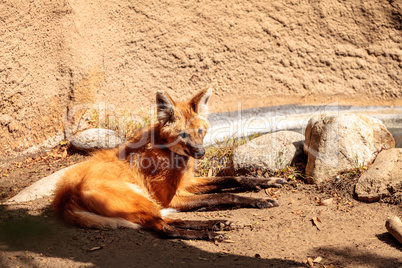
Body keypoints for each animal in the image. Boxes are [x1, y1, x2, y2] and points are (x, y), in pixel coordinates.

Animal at [53, 89, 286, 242]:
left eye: (200, 131)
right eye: (183, 135)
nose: (201, 153)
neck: (168, 152)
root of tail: (67, 196)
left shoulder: (186, 183)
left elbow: (232, 179)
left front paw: (265, 185)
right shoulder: (172, 196)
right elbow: (224, 195)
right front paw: (259, 199)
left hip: (146, 202)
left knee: (167, 220)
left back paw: (218, 223)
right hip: (143, 200)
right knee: (164, 228)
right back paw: (211, 232)